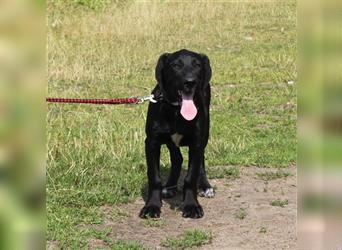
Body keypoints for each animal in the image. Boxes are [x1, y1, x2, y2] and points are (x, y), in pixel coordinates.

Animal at [140, 48, 214, 219]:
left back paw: (205, 186)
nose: (190, 82)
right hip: (170, 141)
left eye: (197, 65)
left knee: (201, 160)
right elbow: (154, 177)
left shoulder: (196, 142)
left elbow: (191, 176)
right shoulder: (152, 142)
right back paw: (169, 187)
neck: (176, 110)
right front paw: (152, 206)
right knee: (177, 158)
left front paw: (191, 205)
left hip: (205, 134)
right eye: (175, 65)